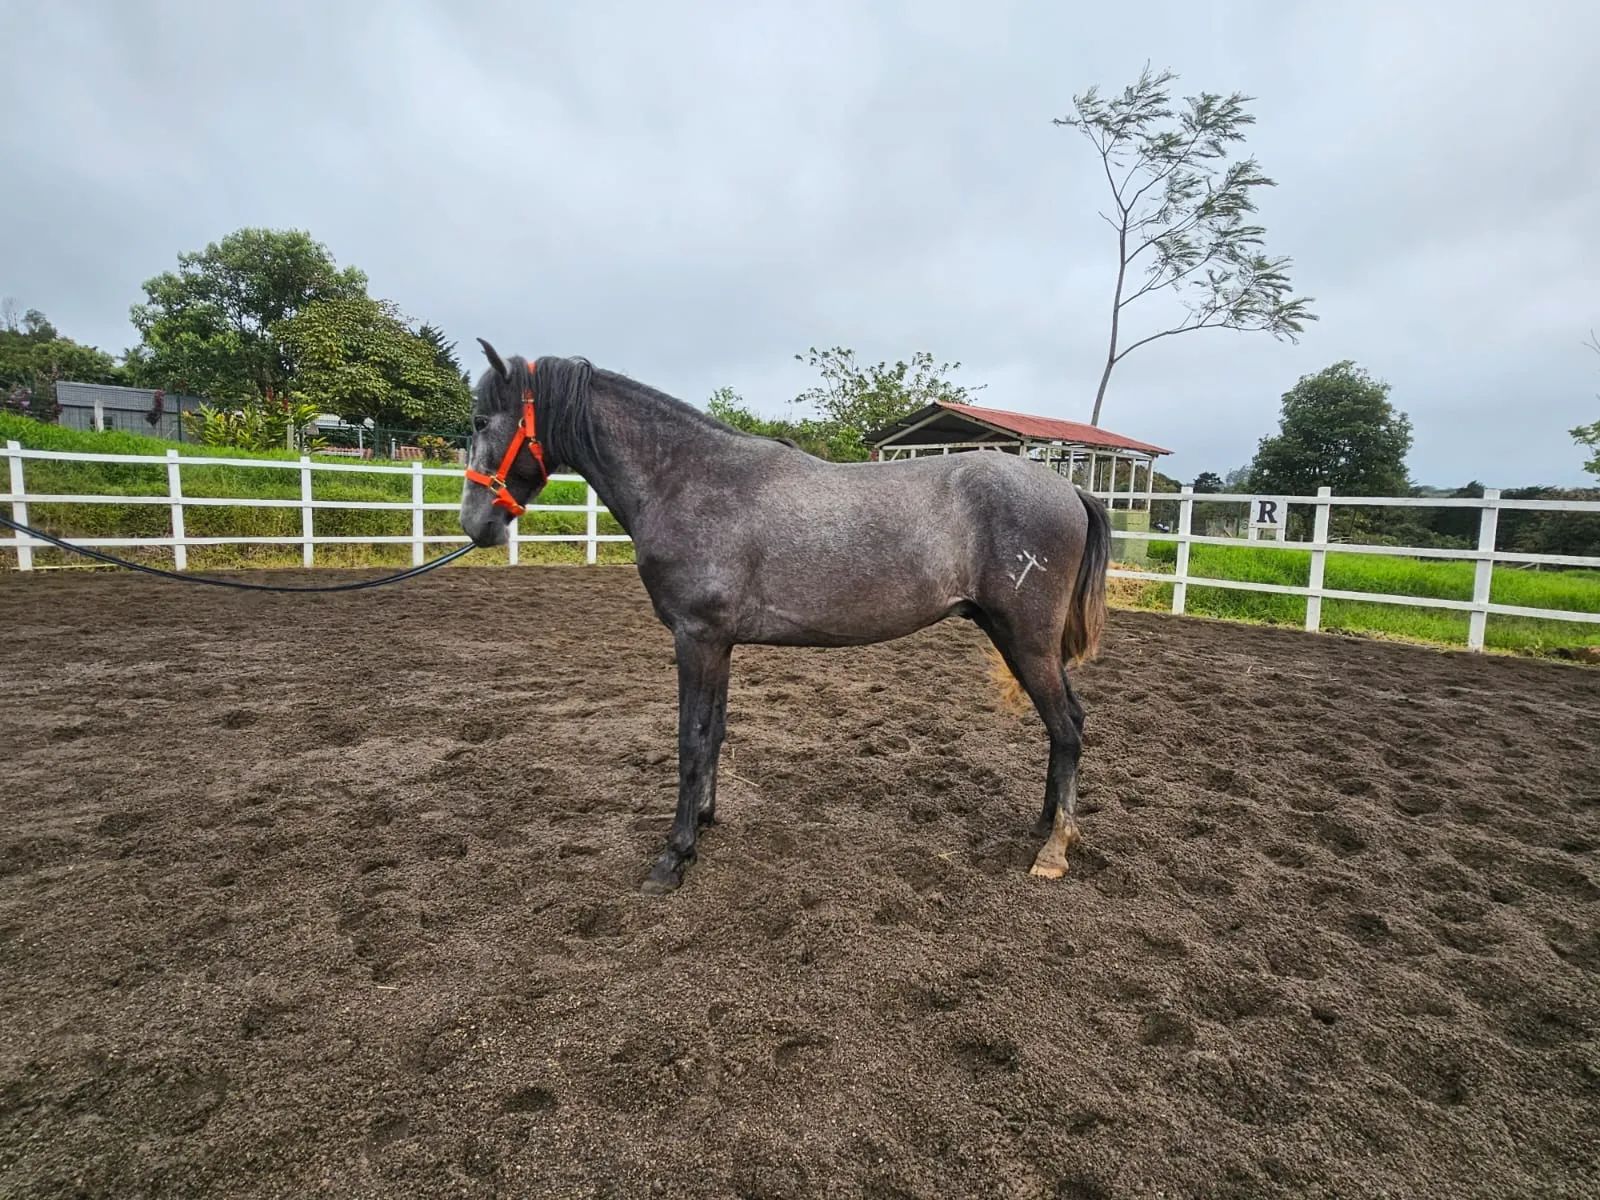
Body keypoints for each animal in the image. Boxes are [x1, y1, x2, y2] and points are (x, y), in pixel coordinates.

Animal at [458, 340, 1112, 895]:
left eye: (481, 422)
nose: (475, 524)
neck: (690, 480)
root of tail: (1069, 489)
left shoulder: (696, 638)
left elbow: (690, 738)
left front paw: (673, 856)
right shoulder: (718, 643)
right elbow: (715, 733)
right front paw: (703, 822)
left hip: (1025, 639)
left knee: (1066, 728)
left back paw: (1054, 850)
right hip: (1017, 639)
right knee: (1068, 724)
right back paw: (1045, 825)